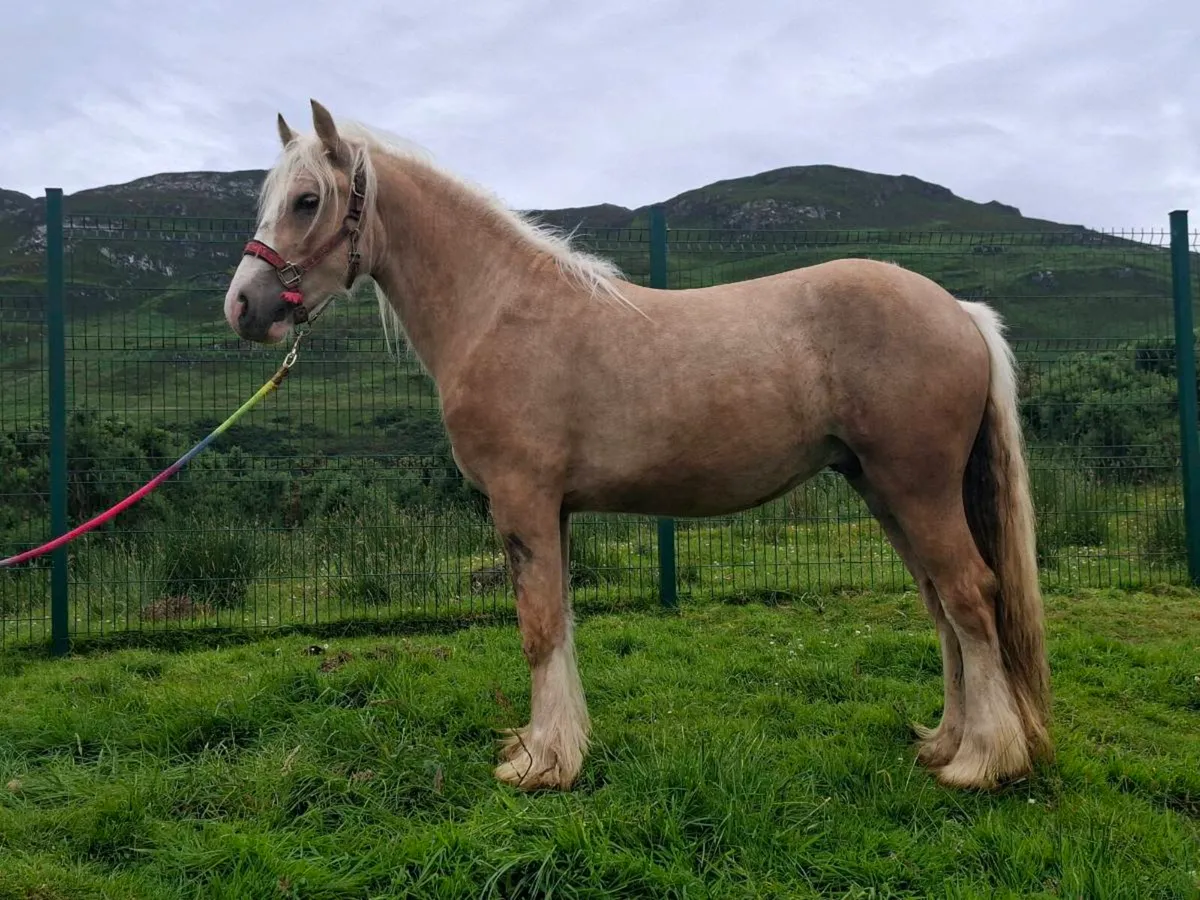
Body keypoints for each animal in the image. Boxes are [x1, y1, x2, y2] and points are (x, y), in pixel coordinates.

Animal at [223, 99, 1052, 793]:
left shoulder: (522, 501)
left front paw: (542, 766)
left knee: (969, 595)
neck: (499, 310)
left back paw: (983, 760)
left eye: (307, 200)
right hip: (884, 491)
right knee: (941, 605)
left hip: (917, 487)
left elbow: (538, 627)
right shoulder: (552, 512)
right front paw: (551, 746)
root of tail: (960, 310)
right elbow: (558, 622)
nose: (242, 306)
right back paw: (945, 741)